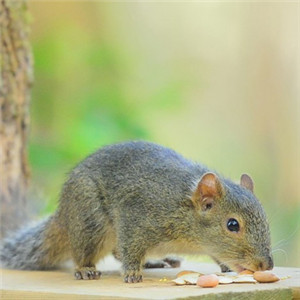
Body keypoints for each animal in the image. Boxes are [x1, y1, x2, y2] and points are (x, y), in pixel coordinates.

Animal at [0, 141, 274, 282]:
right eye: (232, 225)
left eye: (266, 220)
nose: (266, 264)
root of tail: (63, 214)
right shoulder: (137, 217)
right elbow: (130, 247)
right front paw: (132, 271)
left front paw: (226, 265)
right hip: (90, 219)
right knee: (85, 251)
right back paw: (85, 268)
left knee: (115, 251)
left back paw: (155, 261)